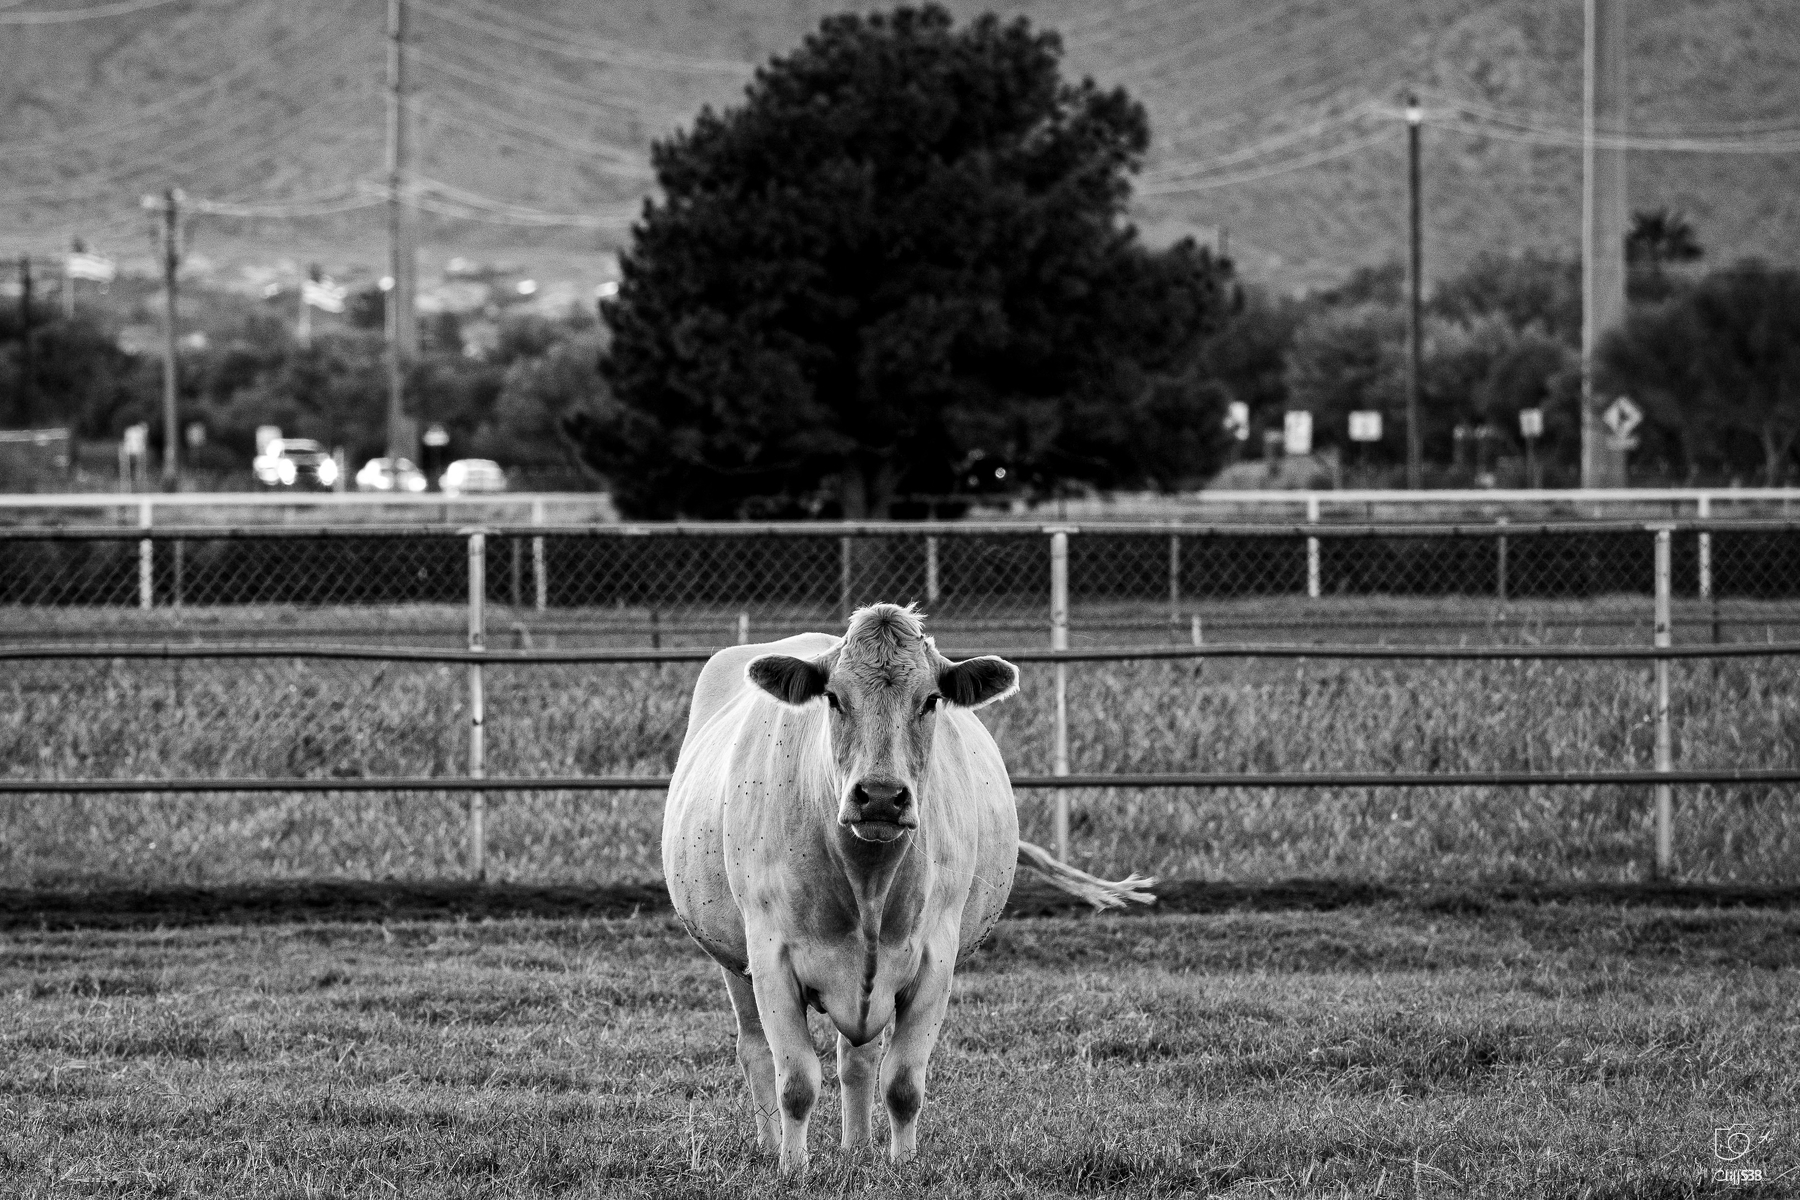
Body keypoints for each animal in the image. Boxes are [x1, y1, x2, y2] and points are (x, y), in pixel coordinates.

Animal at [663, 603, 1153, 1175]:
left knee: (857, 1058)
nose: (879, 796)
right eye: (834, 697)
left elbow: (901, 1082)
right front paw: (794, 1168)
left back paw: (857, 1146)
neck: (867, 880)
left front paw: (903, 1165)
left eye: (932, 699)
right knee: (756, 1050)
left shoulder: (935, 960)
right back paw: (769, 1145)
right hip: (731, 960)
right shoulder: (770, 958)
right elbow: (797, 1081)